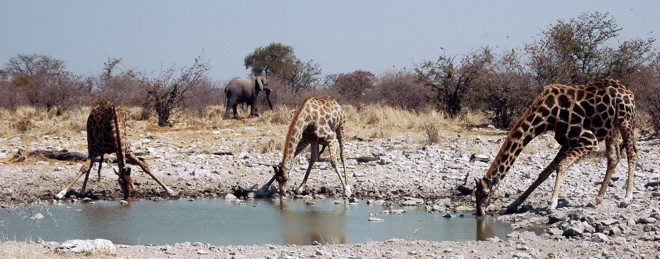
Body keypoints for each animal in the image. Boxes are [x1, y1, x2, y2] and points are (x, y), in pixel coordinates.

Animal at [476, 79, 636, 217]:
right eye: (474, 193)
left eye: (485, 194)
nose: (479, 212)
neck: (547, 116)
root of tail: (629, 91)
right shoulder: (567, 142)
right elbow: (544, 173)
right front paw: (515, 203)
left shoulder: (589, 139)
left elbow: (561, 166)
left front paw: (552, 203)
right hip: (611, 130)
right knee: (613, 157)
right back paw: (598, 198)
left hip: (625, 120)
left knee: (632, 153)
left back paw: (627, 198)